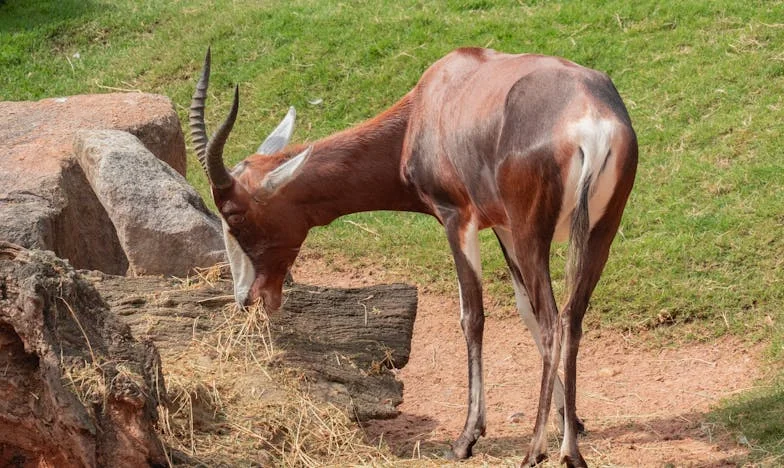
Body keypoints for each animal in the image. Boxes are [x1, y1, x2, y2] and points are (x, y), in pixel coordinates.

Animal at [190, 45, 636, 466]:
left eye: (234, 215)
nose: (247, 298)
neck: (434, 99)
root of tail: (589, 120)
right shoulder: (503, 227)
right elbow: (523, 310)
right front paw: (571, 420)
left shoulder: (458, 219)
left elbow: (473, 317)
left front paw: (466, 439)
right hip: (597, 234)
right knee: (569, 320)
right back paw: (570, 451)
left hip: (534, 236)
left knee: (551, 323)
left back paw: (535, 452)